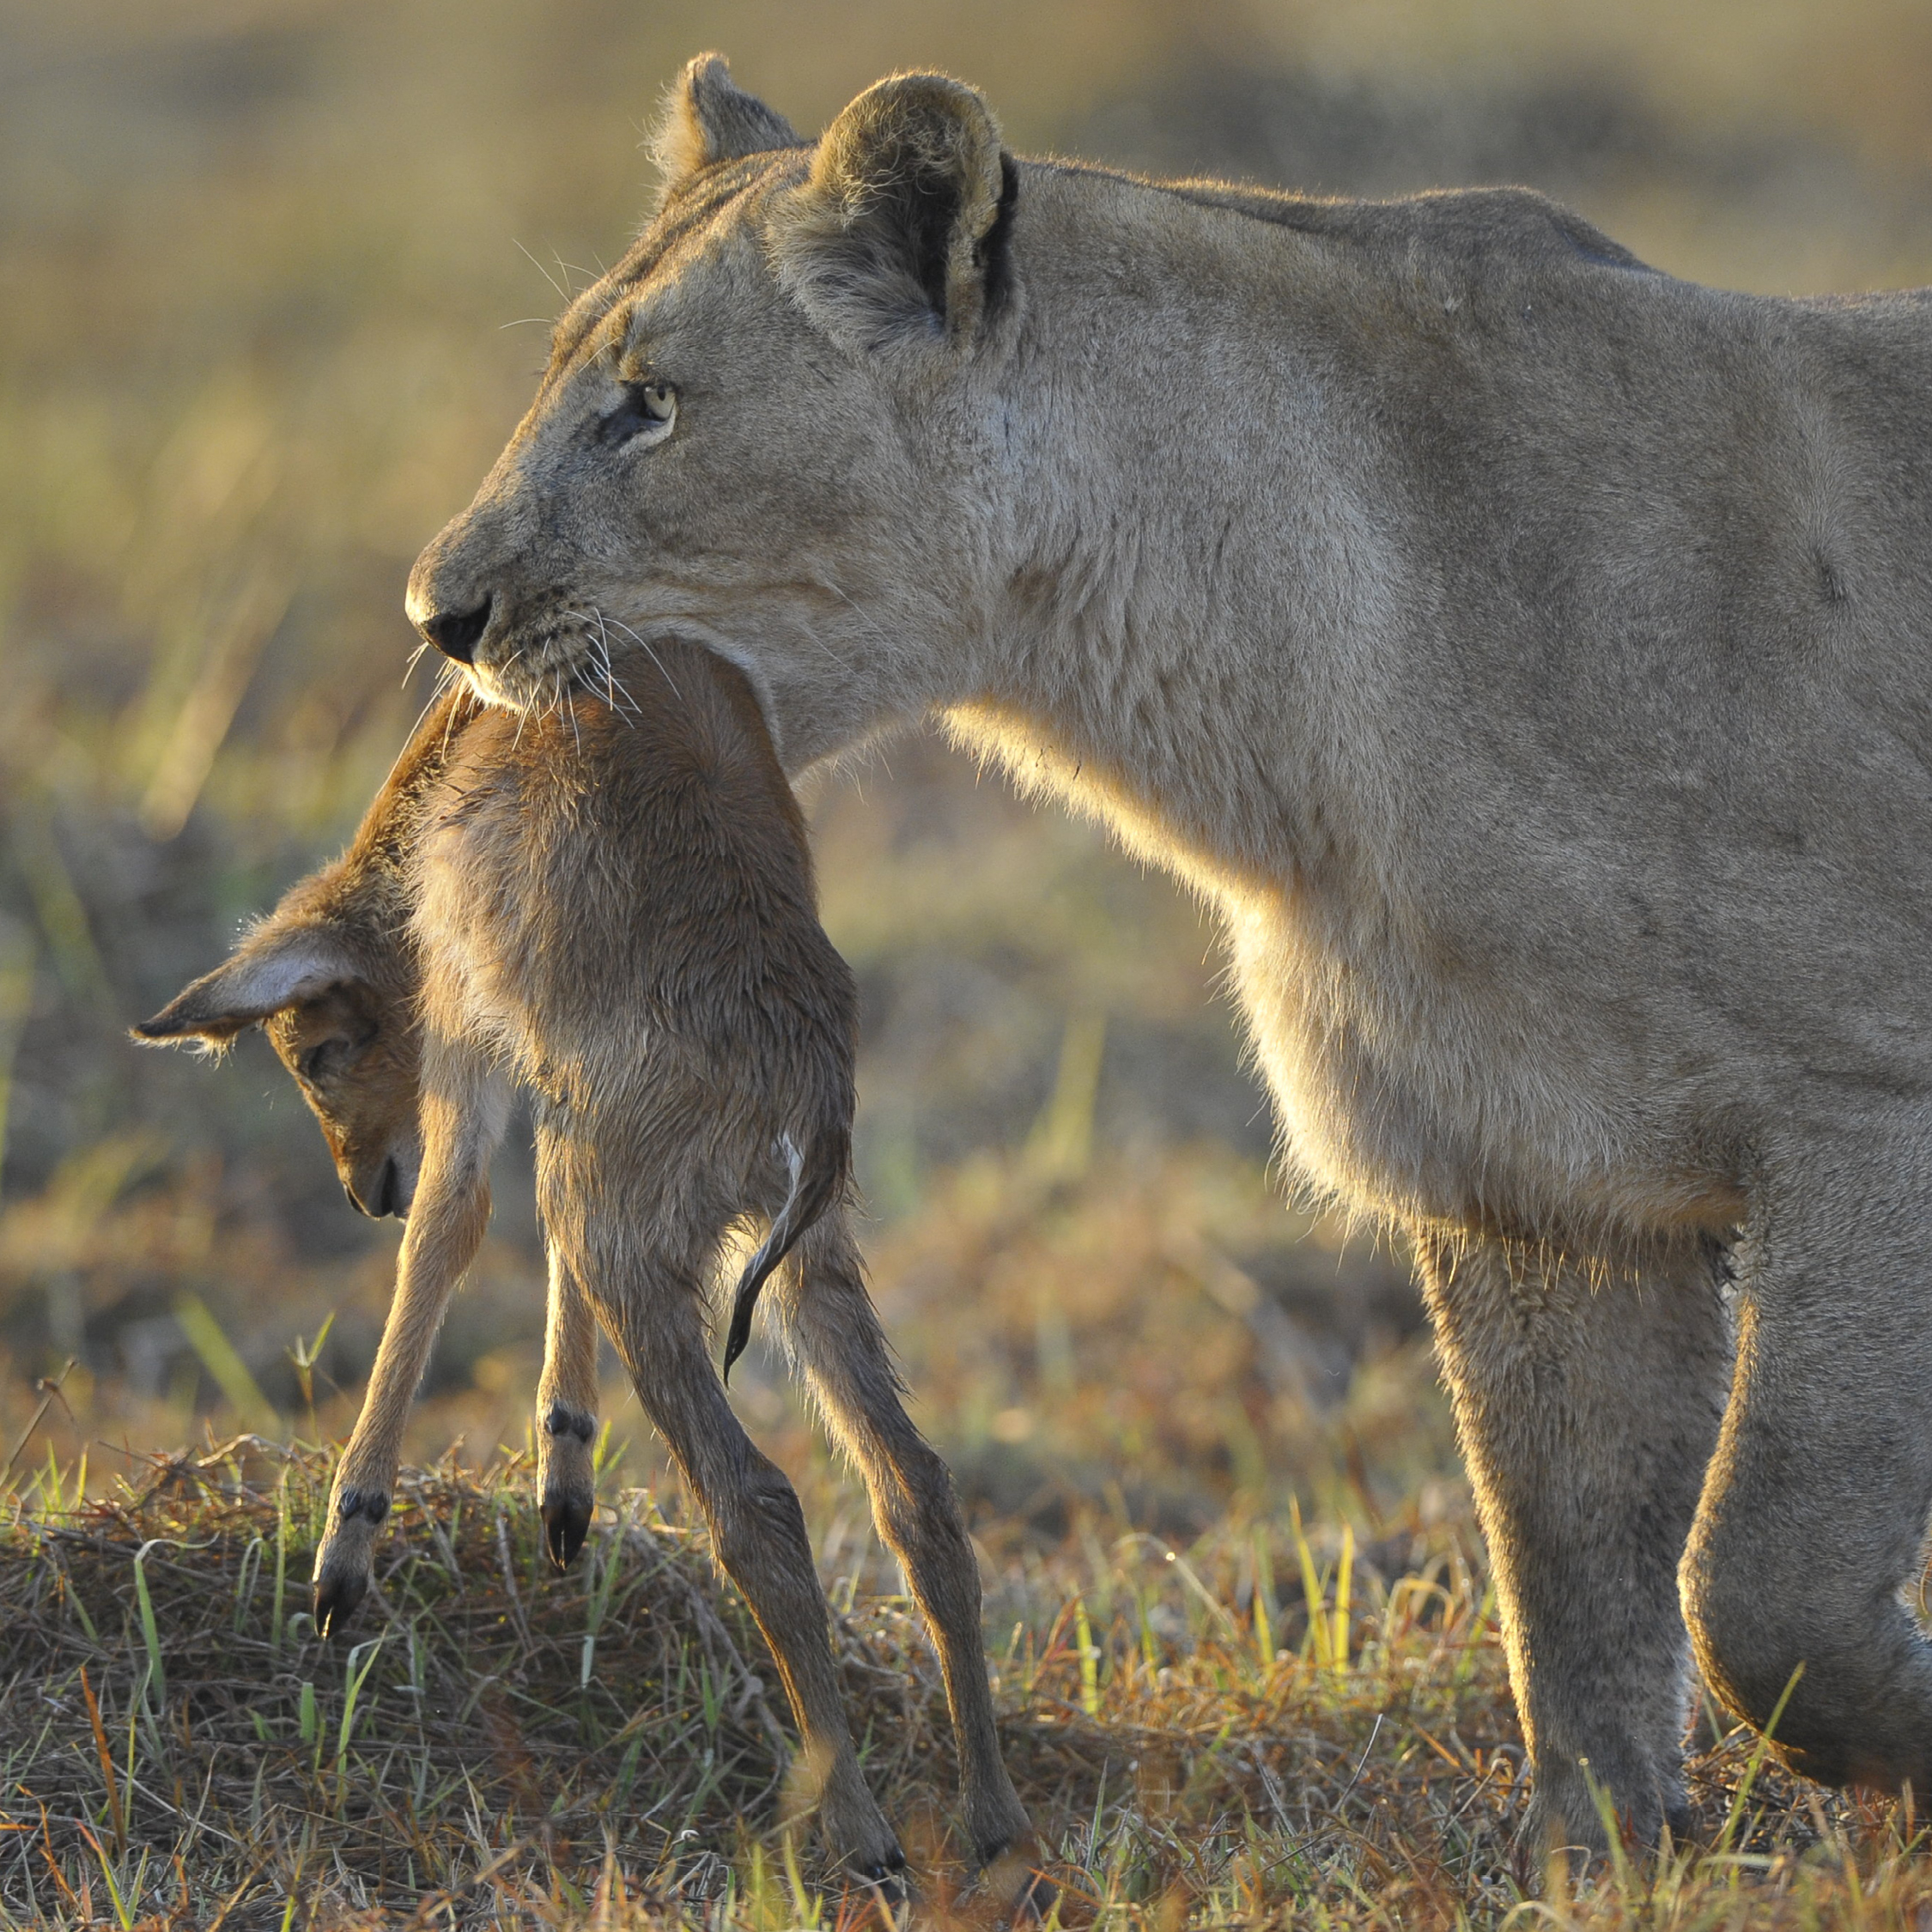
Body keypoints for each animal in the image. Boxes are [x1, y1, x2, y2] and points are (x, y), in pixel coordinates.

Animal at [137, 645, 1036, 1886]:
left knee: (759, 1502)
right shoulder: (554, 1080)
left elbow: (454, 1218)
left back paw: (860, 1833)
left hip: (657, 1263)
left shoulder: (467, 1023)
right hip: (804, 1262)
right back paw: (992, 1821)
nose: (361, 1185)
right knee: (918, 1490)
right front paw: (560, 1481)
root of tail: (808, 1094)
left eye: (314, 1052)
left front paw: (342, 1553)